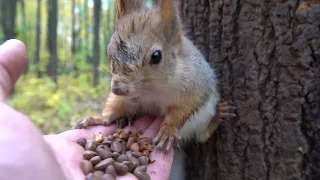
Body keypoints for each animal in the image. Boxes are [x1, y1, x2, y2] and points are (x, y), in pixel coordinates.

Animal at [74, 0, 235, 179]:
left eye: (156, 56)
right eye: (109, 52)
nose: (118, 89)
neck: (152, 91)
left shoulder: (195, 86)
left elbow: (184, 109)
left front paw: (168, 129)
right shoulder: (123, 99)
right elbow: (113, 108)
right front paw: (97, 118)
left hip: (203, 117)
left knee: (201, 136)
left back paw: (218, 116)